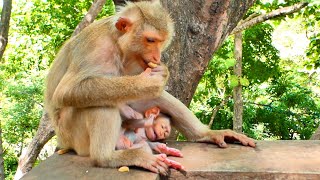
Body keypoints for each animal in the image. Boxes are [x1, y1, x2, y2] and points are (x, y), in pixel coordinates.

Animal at [44, 0, 255, 174]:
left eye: (161, 42)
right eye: (150, 40)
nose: (157, 57)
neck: (117, 44)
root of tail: (64, 143)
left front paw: (162, 73)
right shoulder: (96, 47)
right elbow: (66, 92)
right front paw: (147, 82)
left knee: (153, 97)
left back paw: (205, 134)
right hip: (73, 135)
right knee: (100, 100)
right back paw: (108, 158)